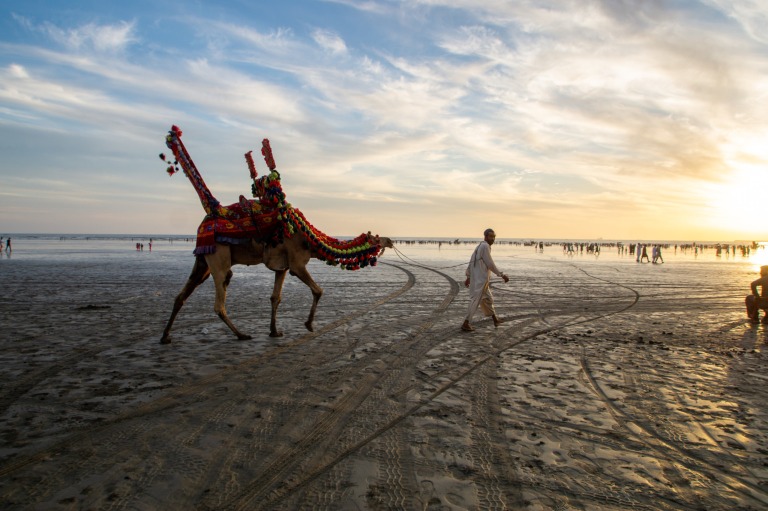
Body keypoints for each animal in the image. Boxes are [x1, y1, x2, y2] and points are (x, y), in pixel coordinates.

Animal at [160, 126, 392, 346]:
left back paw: (165, 336)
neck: (309, 238)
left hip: (203, 259)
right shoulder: (297, 262)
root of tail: (212, 210)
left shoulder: (282, 266)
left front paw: (274, 331)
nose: (390, 240)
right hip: (219, 255)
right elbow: (318, 291)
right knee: (219, 301)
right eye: (376, 238)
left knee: (182, 295)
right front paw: (309, 325)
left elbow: (275, 297)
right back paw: (241, 334)